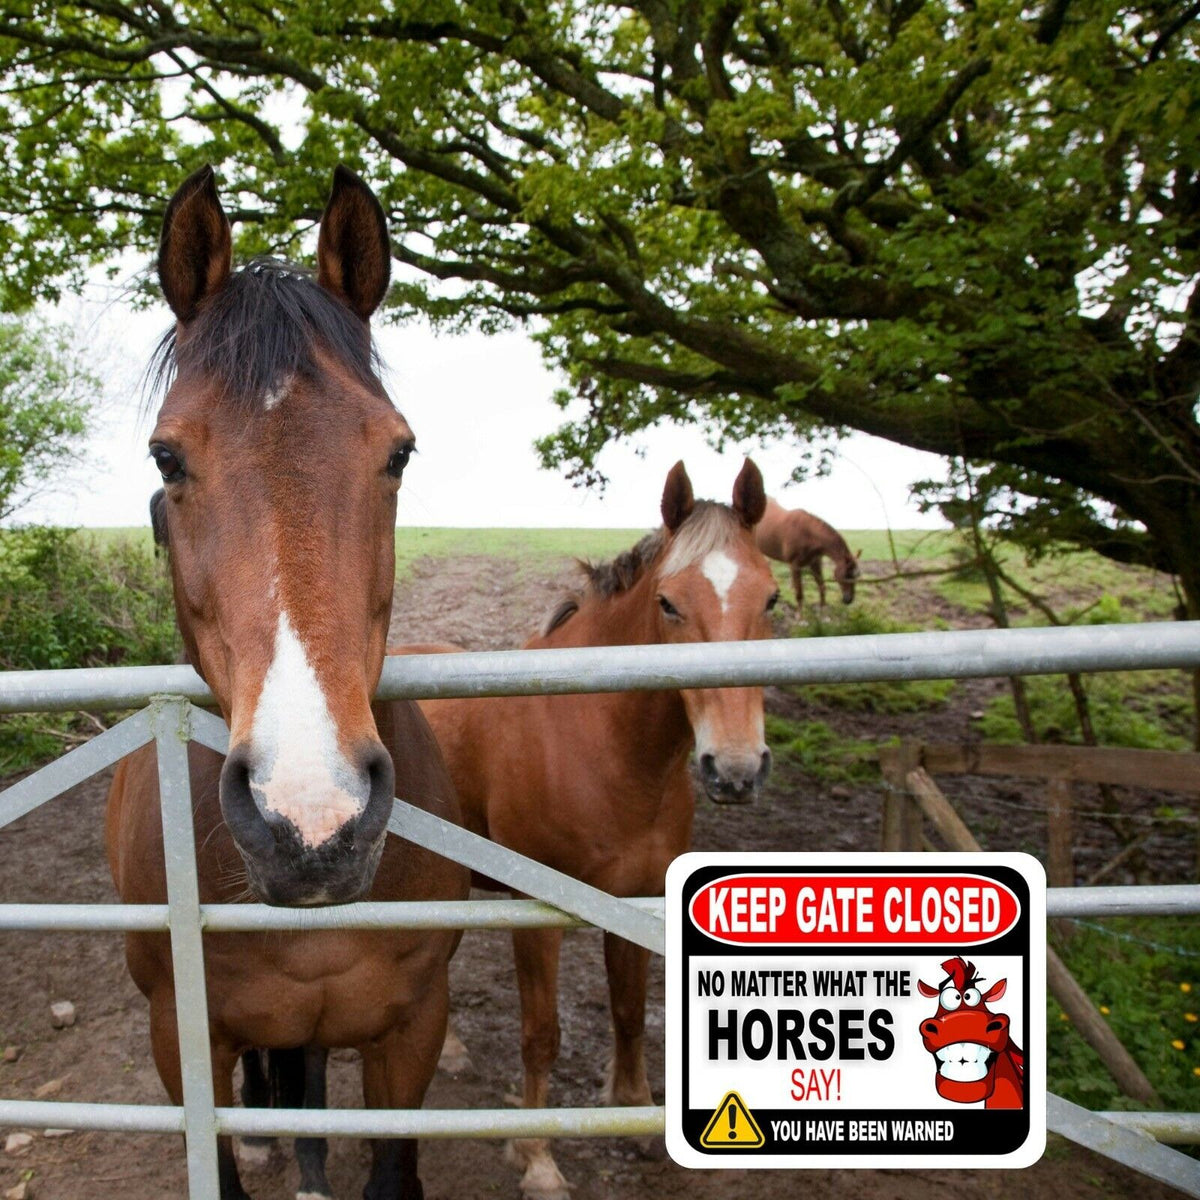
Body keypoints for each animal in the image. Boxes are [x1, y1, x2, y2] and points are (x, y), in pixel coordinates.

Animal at [402, 460, 778, 1199]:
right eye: (669, 603)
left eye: (773, 599)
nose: (737, 769)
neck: (595, 740)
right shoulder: (537, 912)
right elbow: (541, 1033)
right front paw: (537, 1157)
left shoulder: (635, 895)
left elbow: (629, 1011)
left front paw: (634, 1117)